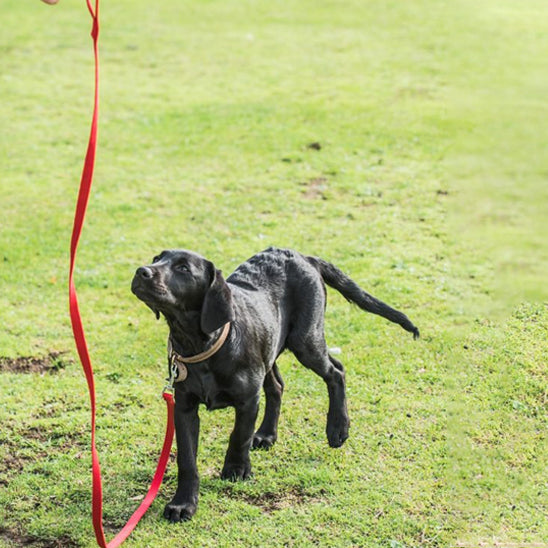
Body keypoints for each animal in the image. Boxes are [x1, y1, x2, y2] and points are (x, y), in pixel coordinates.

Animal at [131, 248, 418, 524]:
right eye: (157, 258)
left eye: (183, 268)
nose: (142, 271)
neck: (200, 346)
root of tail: (305, 257)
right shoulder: (184, 407)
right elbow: (187, 460)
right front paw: (183, 504)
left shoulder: (248, 399)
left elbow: (239, 435)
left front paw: (236, 469)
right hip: (271, 348)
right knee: (278, 386)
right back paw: (267, 434)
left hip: (306, 340)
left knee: (336, 371)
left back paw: (338, 428)